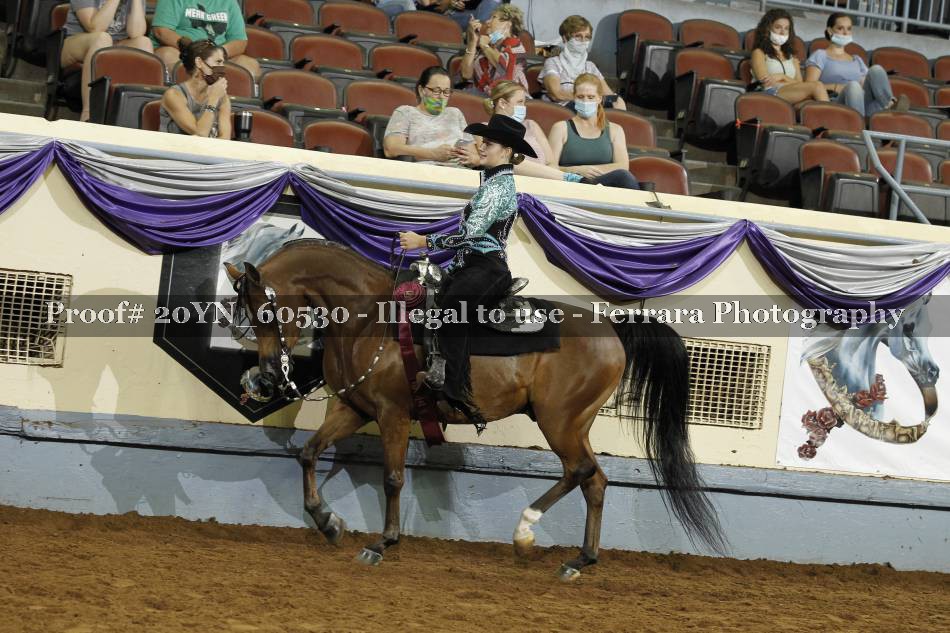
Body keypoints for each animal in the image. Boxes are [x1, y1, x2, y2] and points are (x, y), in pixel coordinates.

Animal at [224, 239, 726, 580]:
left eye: (265, 311)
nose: (264, 378)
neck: (371, 318)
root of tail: (612, 327)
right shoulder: (352, 407)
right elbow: (308, 453)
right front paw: (328, 523)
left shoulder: (392, 414)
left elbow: (392, 479)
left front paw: (382, 544)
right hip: (574, 423)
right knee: (594, 479)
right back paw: (579, 559)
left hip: (559, 421)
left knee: (580, 472)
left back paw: (526, 532)